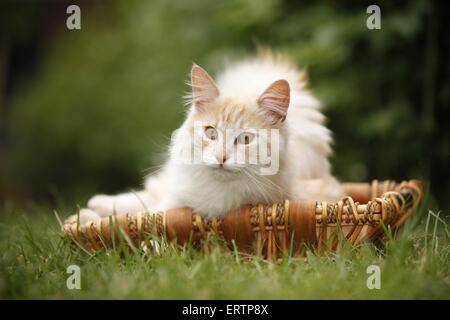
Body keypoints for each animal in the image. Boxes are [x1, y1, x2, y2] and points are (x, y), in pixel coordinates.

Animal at [79, 52, 342, 222]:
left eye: (245, 139)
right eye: (211, 133)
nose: (221, 157)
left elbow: (146, 217)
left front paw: (90, 221)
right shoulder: (174, 196)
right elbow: (143, 209)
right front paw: (92, 216)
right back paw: (97, 202)